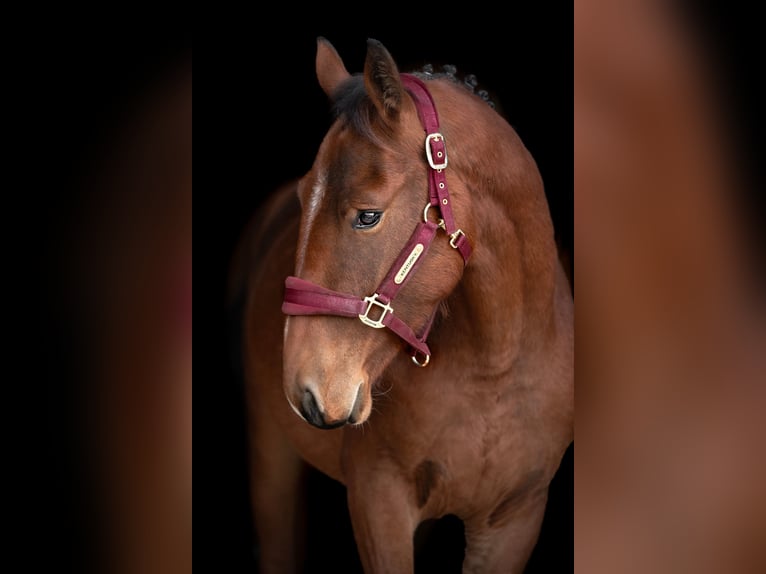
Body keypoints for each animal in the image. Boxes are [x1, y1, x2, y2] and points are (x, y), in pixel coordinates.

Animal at [234, 37, 576, 574]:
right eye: (303, 197)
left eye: (368, 215)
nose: (304, 388)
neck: (496, 367)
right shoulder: (380, 501)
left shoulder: (515, 519)